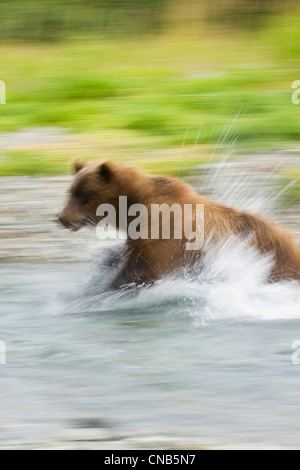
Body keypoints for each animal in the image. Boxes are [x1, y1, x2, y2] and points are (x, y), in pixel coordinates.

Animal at [58, 160, 300, 288]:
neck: (133, 208)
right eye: (71, 191)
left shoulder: (164, 235)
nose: (62, 218)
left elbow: (141, 271)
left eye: (86, 194)